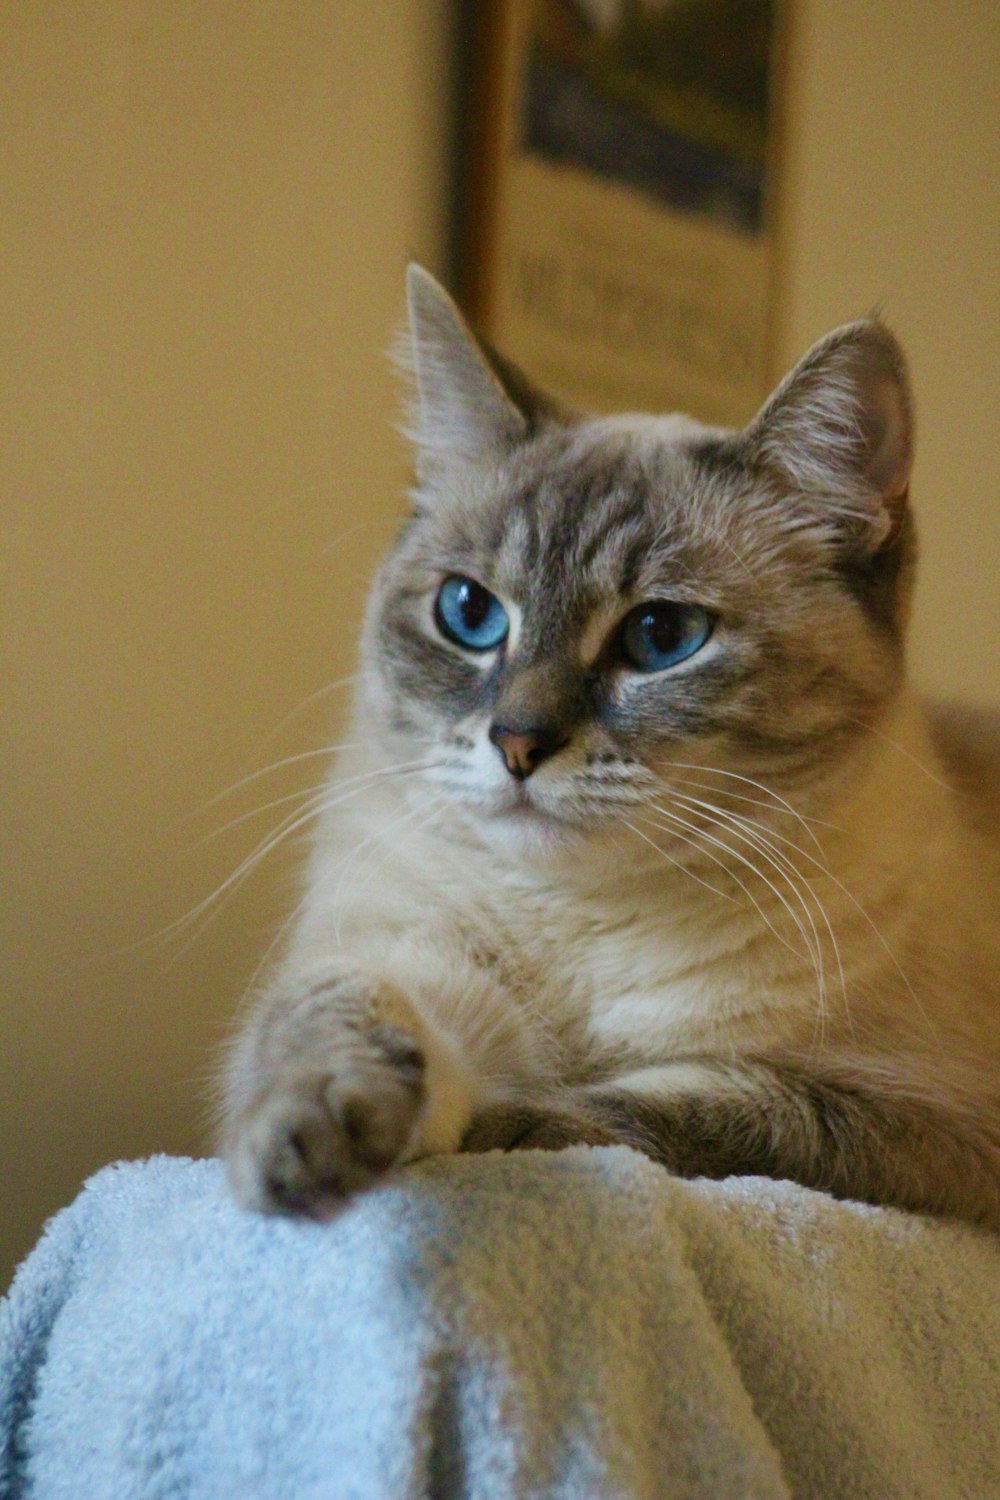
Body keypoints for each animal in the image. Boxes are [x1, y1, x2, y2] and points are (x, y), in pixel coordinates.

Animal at [220, 267, 1000, 1230]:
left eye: (663, 636)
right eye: (469, 613)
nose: (517, 742)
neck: (580, 925)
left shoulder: (918, 1113)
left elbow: (687, 1108)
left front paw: (500, 1132)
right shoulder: (400, 956)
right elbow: (335, 1018)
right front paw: (309, 1142)